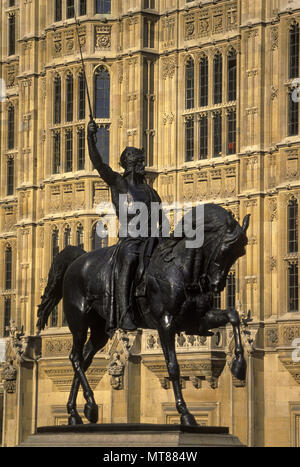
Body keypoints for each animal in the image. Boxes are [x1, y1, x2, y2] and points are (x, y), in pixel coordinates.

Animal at [37, 205, 248, 428]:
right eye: (226, 248)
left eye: (241, 251)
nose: (217, 284)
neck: (180, 267)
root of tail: (77, 260)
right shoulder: (166, 322)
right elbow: (173, 366)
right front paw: (185, 413)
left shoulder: (196, 320)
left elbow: (233, 316)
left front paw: (239, 366)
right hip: (79, 320)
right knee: (75, 357)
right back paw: (89, 406)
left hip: (99, 328)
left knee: (84, 360)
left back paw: (75, 411)